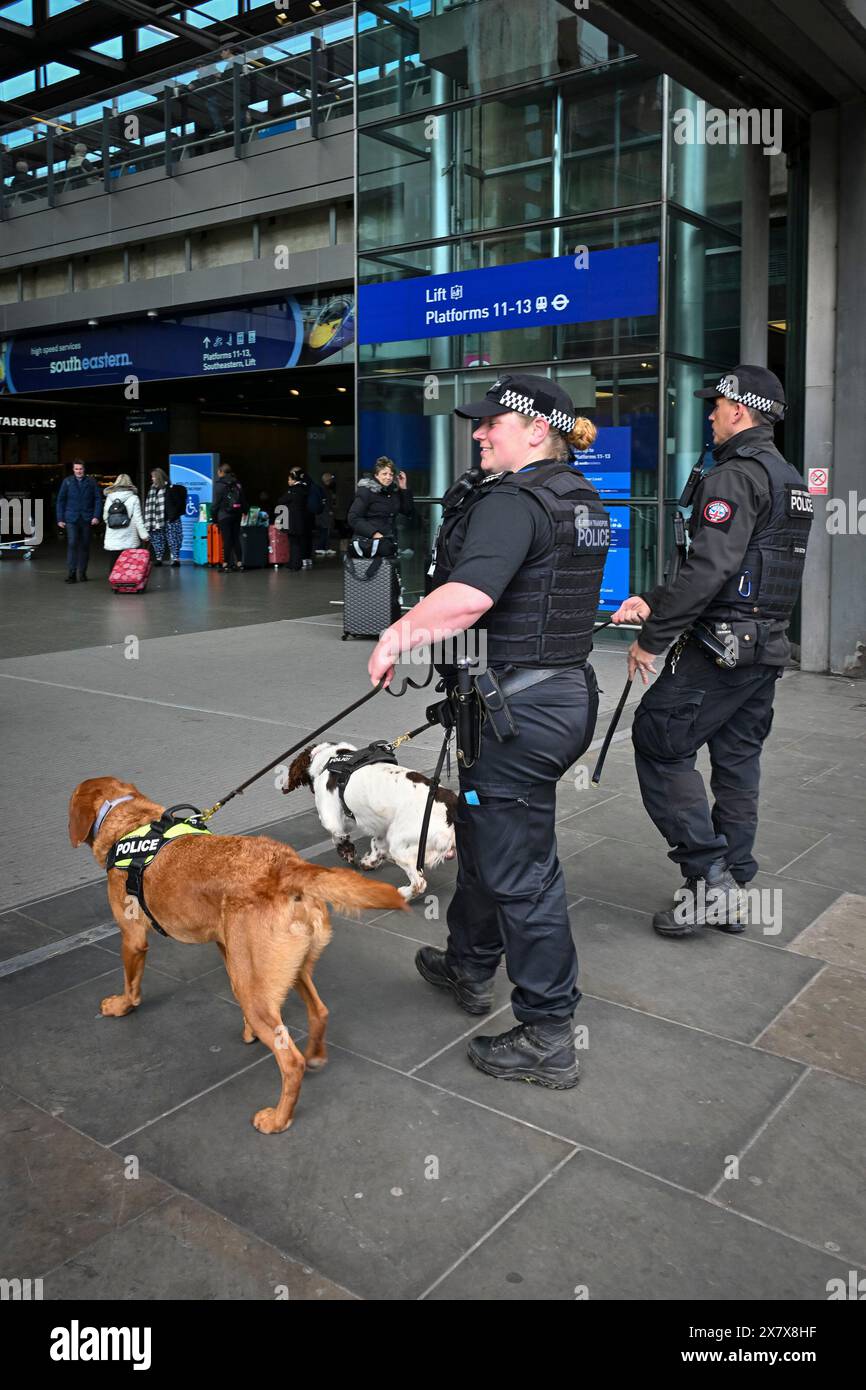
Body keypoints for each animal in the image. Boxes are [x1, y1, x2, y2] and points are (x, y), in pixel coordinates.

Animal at [68, 778, 405, 1134]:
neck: (130, 820)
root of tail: (288, 867)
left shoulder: (133, 938)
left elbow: (131, 983)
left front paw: (122, 1005)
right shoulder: (226, 944)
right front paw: (247, 1031)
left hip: (256, 991)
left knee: (291, 1062)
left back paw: (278, 1119)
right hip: (289, 971)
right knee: (320, 1012)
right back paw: (314, 1053)